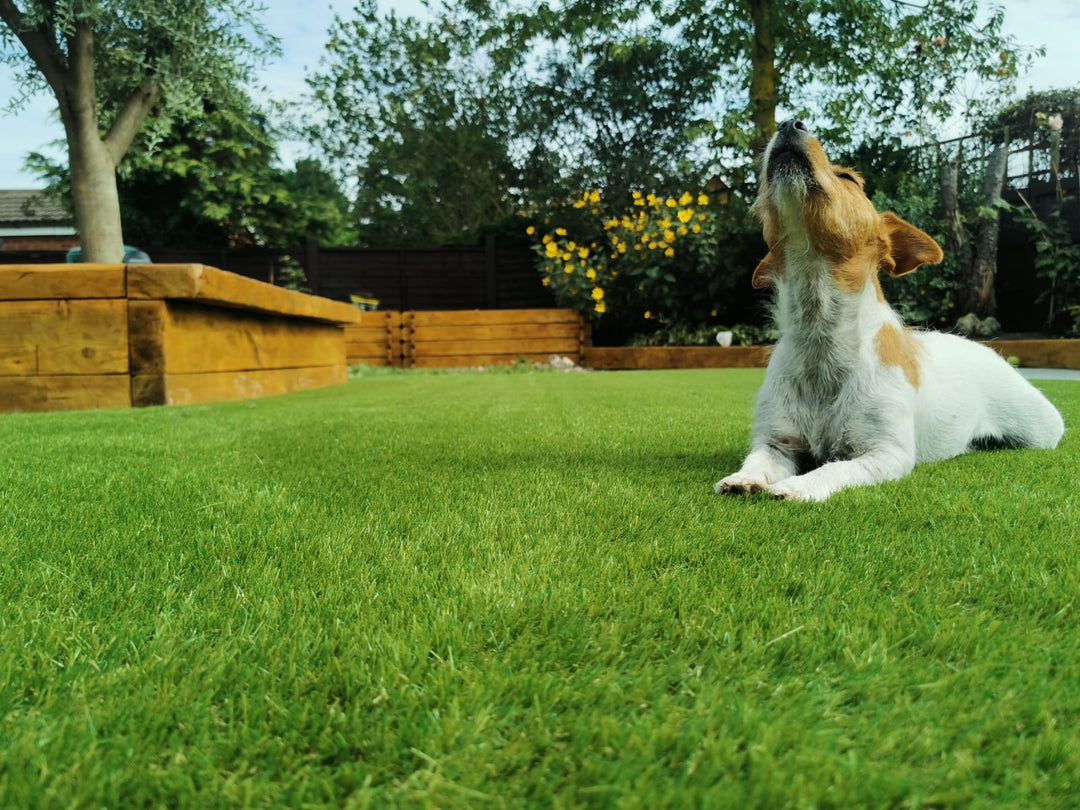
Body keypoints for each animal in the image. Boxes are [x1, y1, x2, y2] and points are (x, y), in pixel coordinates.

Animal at [717, 119, 1062, 501]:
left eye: (849, 178)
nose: (790, 123)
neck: (820, 332)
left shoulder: (884, 454)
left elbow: (834, 468)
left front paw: (798, 485)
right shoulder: (777, 441)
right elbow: (759, 459)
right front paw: (745, 478)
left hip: (1039, 426)